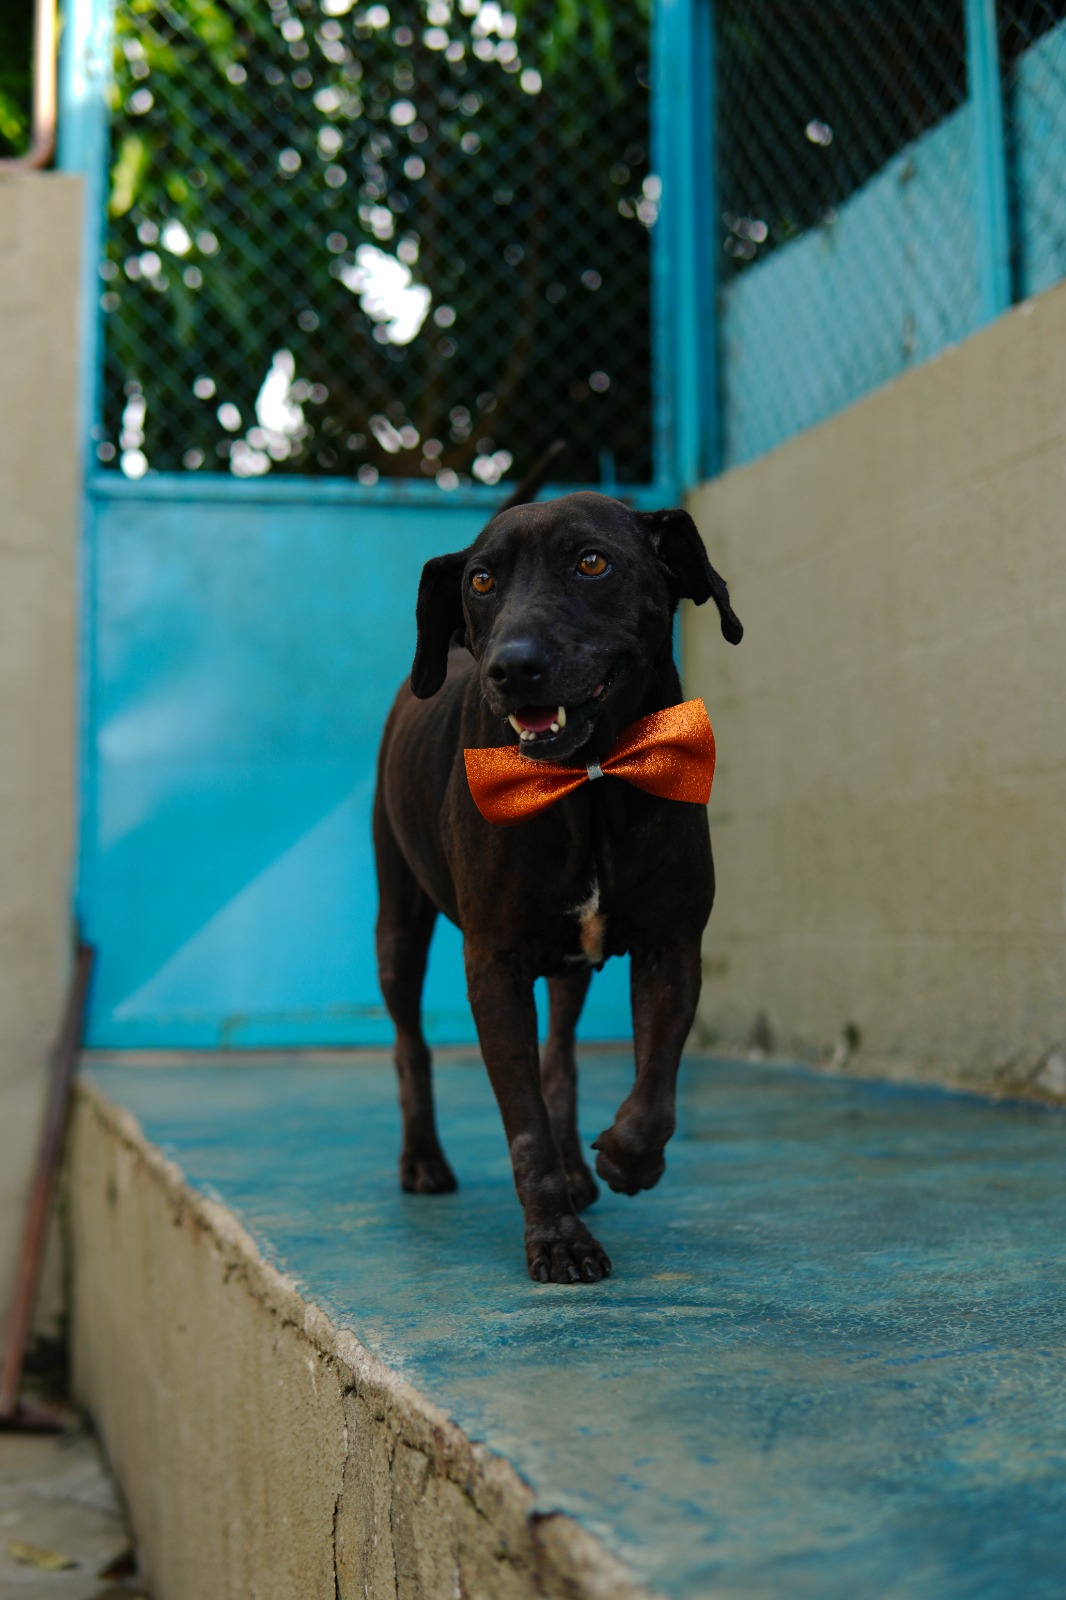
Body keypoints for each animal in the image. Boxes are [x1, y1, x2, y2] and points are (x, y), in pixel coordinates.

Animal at [373, 485, 742, 1282]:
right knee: (410, 1043)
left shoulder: (673, 945)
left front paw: (627, 1159)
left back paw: (581, 1165)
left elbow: (655, 1086)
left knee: (563, 1057)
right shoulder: (495, 966)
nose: (511, 667)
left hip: (569, 967)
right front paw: (558, 1239)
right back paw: (423, 1161)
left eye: (592, 563)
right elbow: (524, 1128)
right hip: (398, 928)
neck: (590, 783)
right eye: (481, 580)